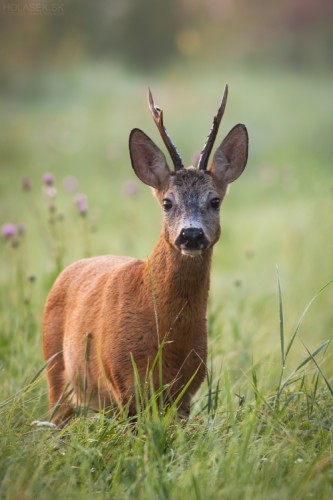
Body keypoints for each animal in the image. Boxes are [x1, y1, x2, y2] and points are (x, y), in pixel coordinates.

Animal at [42, 86, 248, 422]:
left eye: (215, 201)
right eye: (167, 202)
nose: (191, 234)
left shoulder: (185, 392)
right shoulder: (123, 381)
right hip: (55, 369)